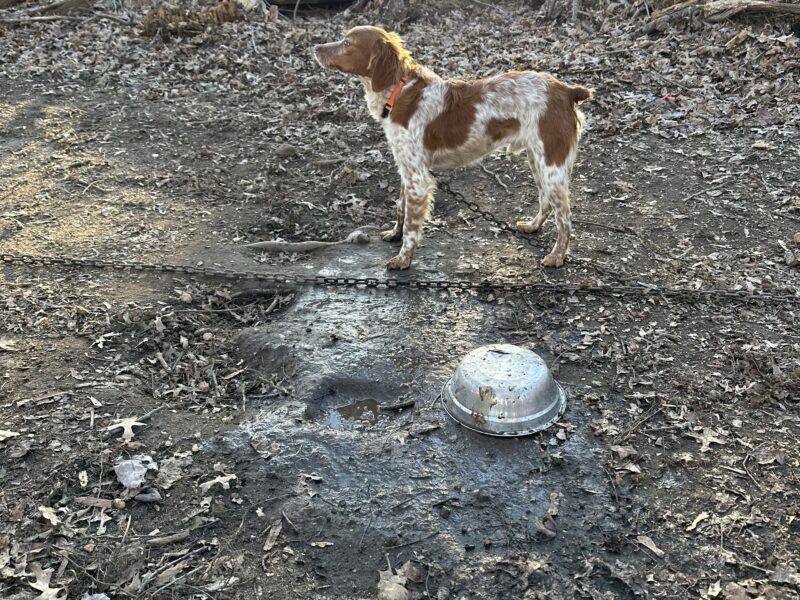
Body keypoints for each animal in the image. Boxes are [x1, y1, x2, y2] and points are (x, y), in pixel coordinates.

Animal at [316, 25, 592, 270]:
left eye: (347, 43)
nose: (316, 47)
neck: (399, 91)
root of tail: (566, 90)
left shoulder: (417, 177)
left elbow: (412, 223)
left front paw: (403, 258)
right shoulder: (406, 168)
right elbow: (400, 207)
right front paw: (395, 234)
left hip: (551, 164)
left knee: (565, 217)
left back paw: (556, 256)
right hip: (537, 160)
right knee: (547, 202)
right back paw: (533, 226)